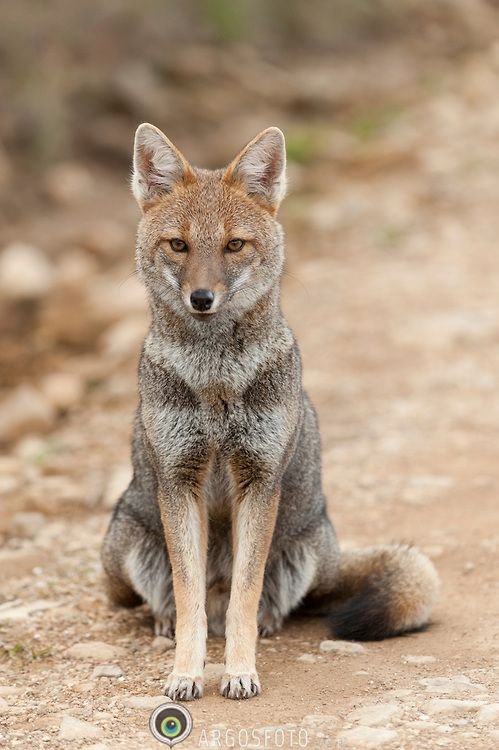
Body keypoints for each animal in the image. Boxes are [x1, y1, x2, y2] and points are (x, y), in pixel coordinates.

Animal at [101, 123, 439, 702]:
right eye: (178, 244)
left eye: (234, 245)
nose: (202, 298)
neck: (215, 380)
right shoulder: (180, 480)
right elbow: (190, 598)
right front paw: (186, 673)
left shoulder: (258, 480)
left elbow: (244, 593)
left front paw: (239, 671)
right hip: (120, 555)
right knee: (175, 603)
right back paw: (166, 622)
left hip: (304, 550)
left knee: (257, 603)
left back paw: (267, 623)